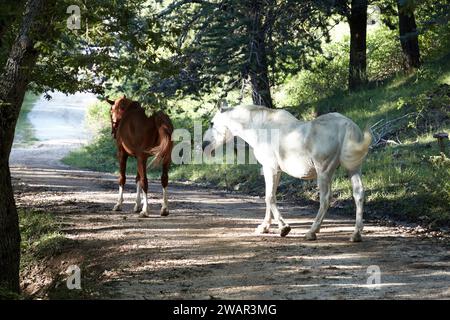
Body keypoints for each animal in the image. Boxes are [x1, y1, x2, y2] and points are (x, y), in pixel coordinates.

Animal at [202, 105, 370, 242]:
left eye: (212, 123)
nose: (205, 145)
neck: (261, 128)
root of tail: (347, 125)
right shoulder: (275, 171)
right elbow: (269, 197)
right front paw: (264, 227)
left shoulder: (270, 168)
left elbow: (269, 197)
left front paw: (284, 228)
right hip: (354, 169)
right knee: (358, 194)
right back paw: (356, 234)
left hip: (324, 172)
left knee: (325, 199)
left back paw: (311, 232)